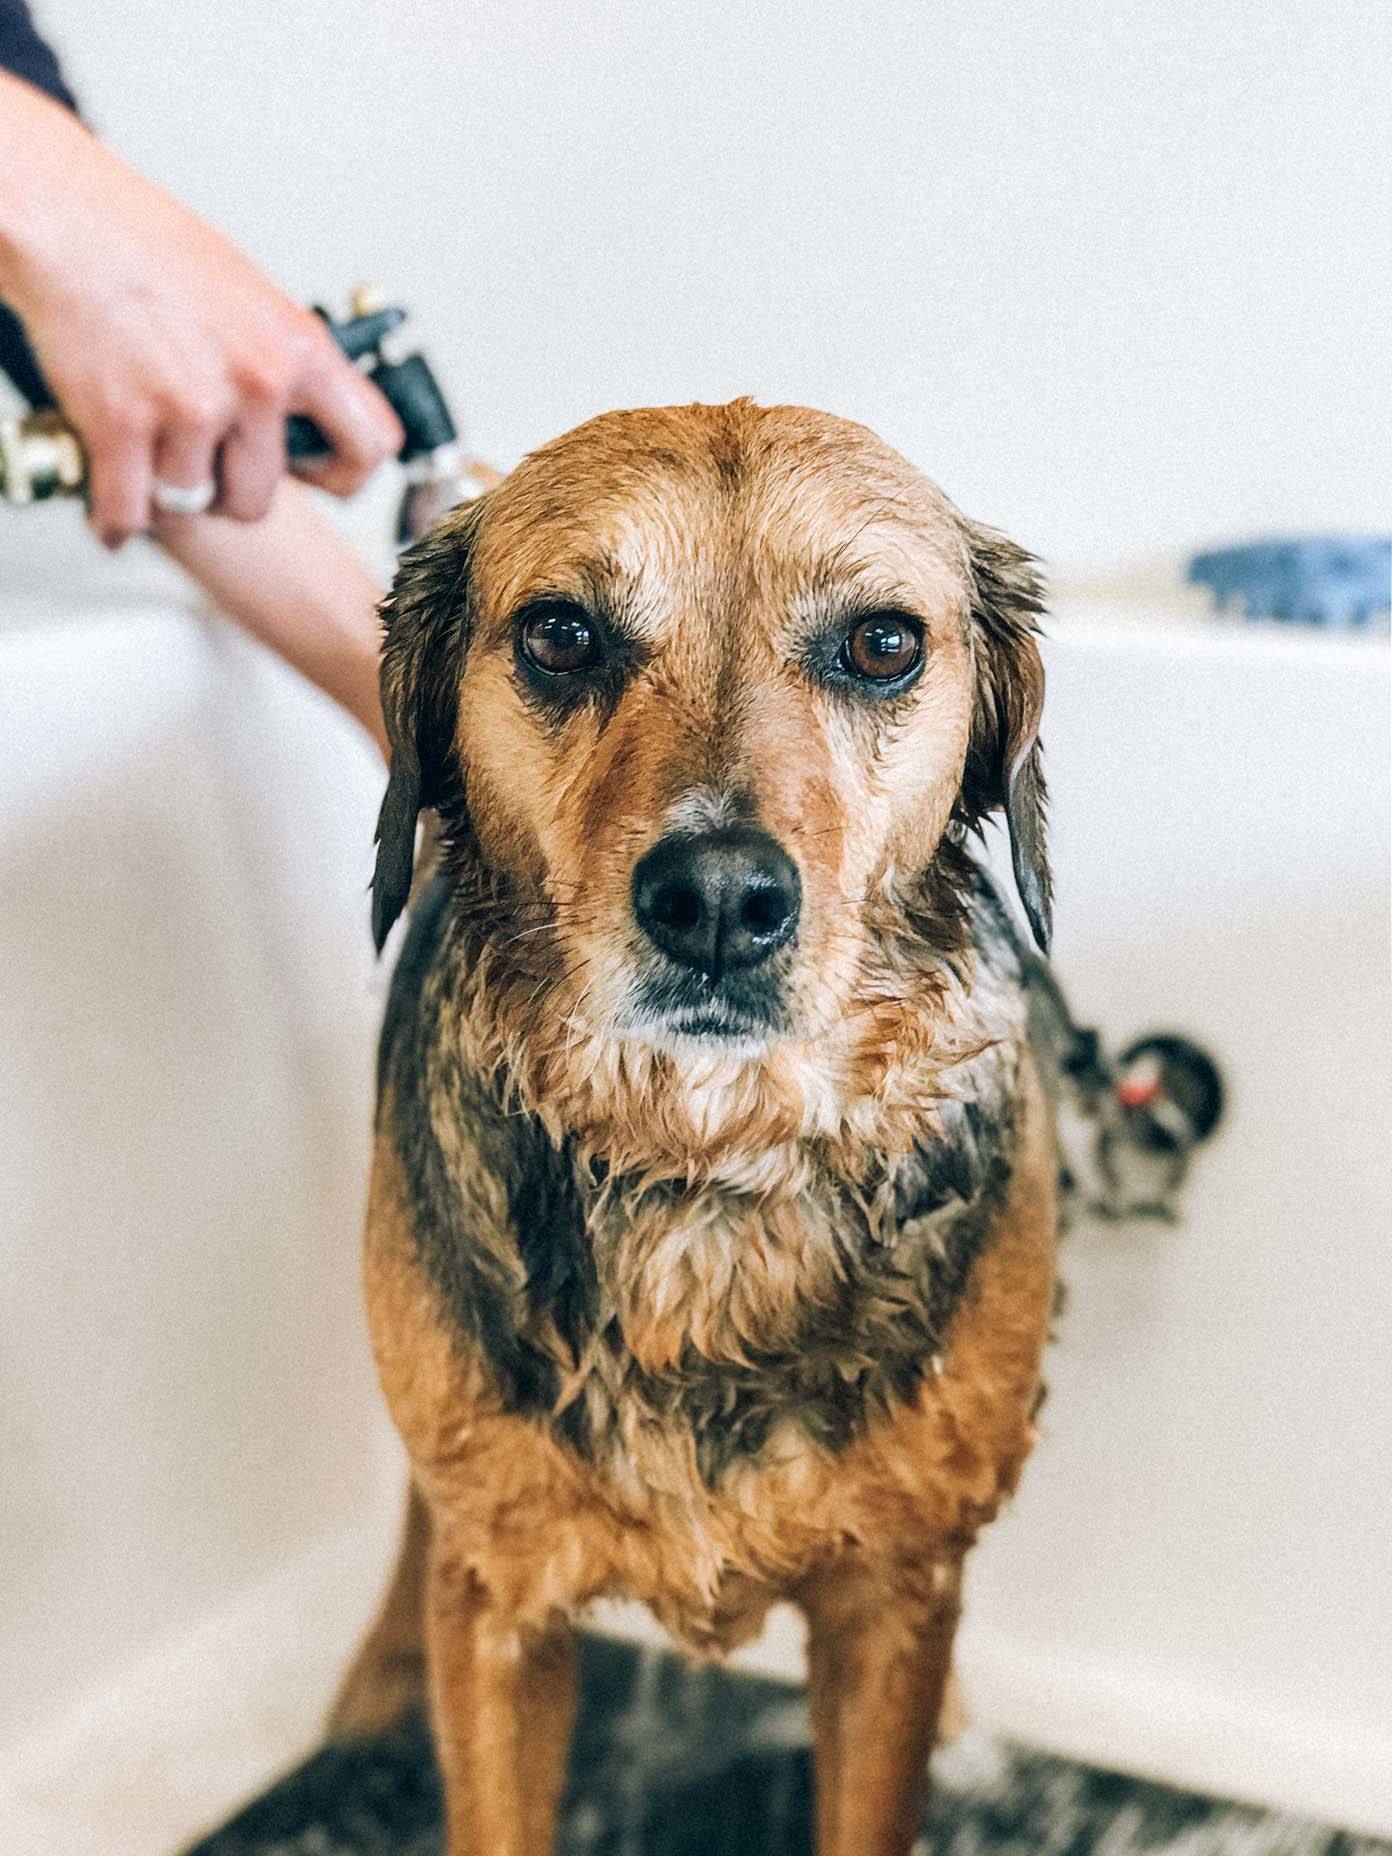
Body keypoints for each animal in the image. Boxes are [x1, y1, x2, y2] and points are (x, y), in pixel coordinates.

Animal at [335, 402, 1054, 1856]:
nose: (719, 896)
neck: (707, 1155)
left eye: (883, 643)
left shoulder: (891, 1608)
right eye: (561, 632)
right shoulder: (500, 1614)